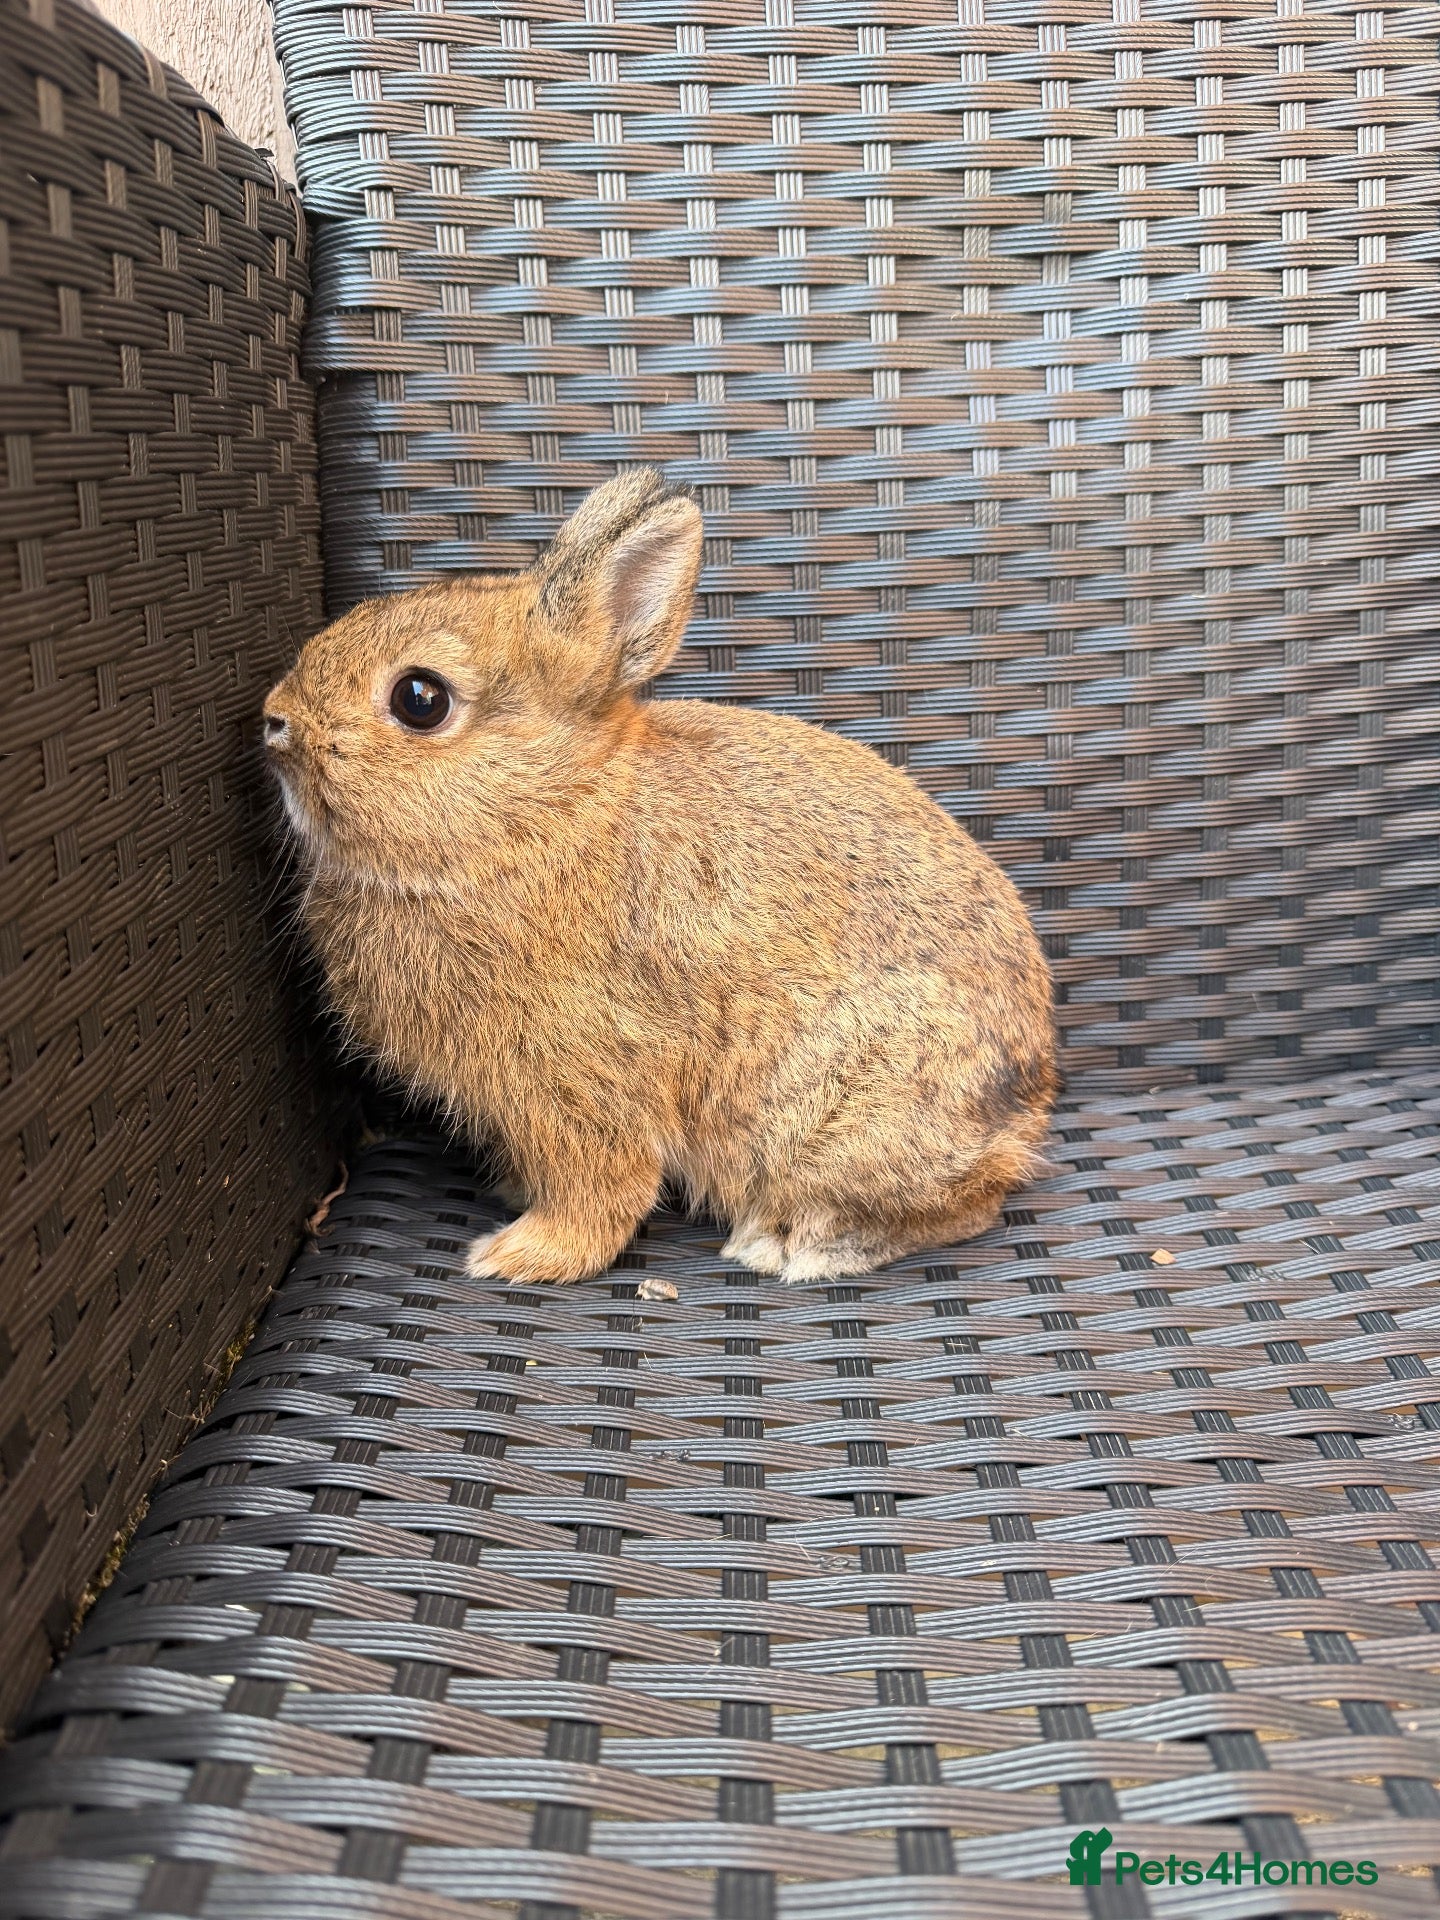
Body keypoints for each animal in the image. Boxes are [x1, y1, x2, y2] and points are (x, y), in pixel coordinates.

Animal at [263, 469, 1057, 1286]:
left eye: (420, 699)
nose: (275, 720)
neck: (547, 811)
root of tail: (1022, 1114)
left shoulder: (579, 1080)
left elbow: (602, 1192)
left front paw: (517, 1256)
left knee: (958, 1205)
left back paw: (794, 1245)